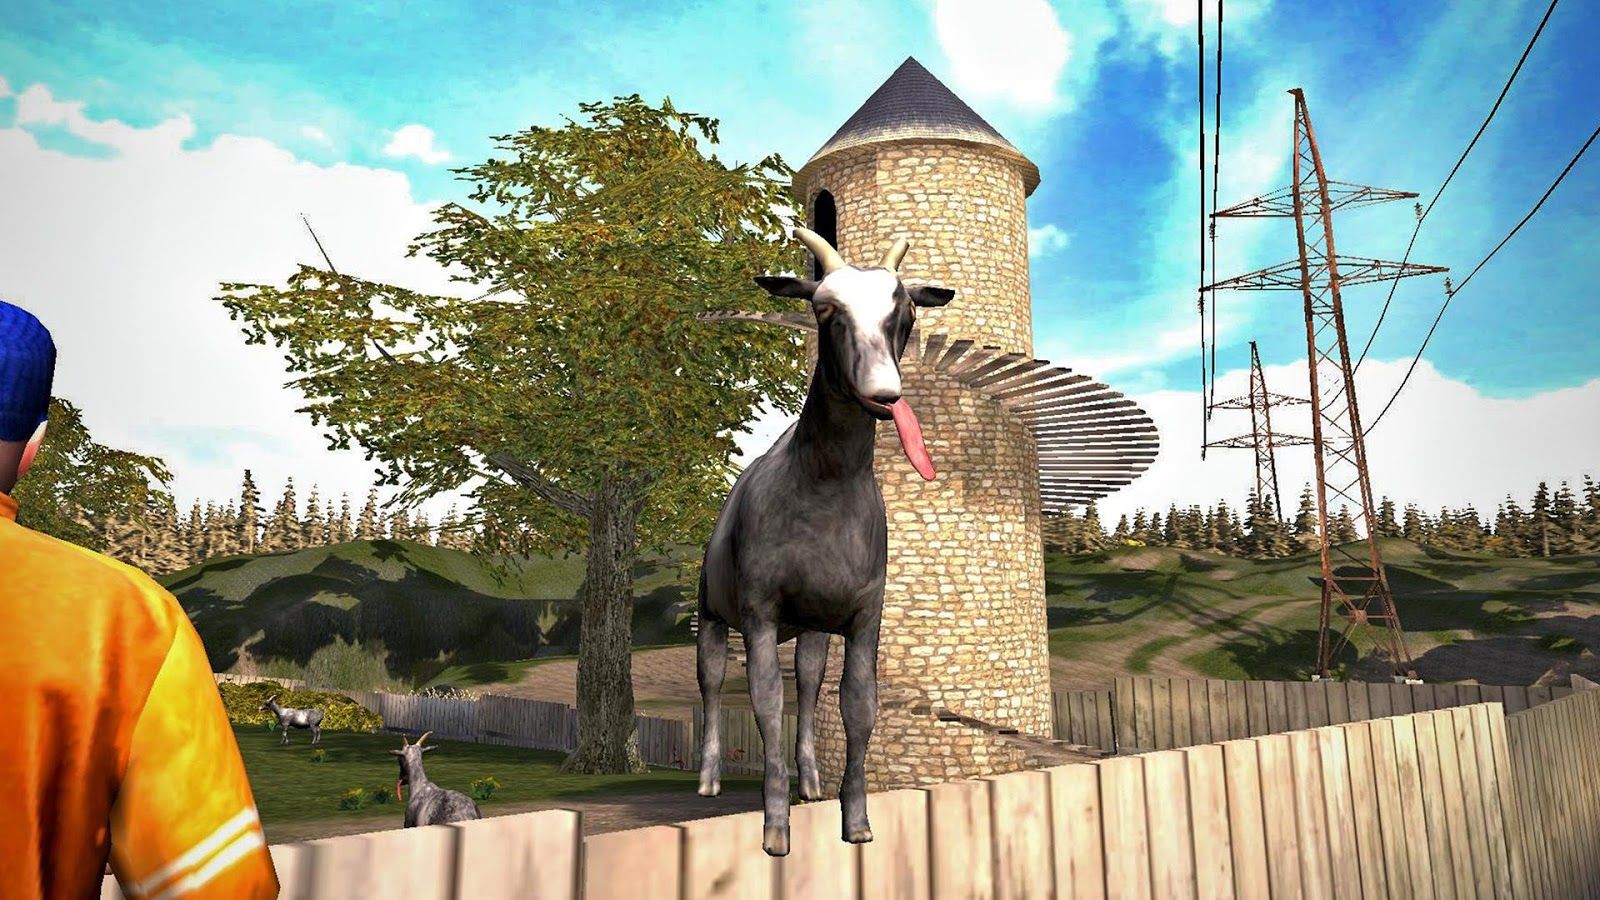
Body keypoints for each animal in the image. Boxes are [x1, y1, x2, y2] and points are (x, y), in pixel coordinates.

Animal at [696, 226, 953, 857]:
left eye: (905, 312)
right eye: (824, 310)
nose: (885, 394)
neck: (823, 487)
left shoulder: (865, 615)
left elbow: (858, 706)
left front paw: (856, 821)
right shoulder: (760, 614)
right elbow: (766, 703)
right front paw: (775, 830)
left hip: (812, 627)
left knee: (810, 684)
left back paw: (811, 782)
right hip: (711, 609)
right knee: (711, 682)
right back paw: (710, 779)